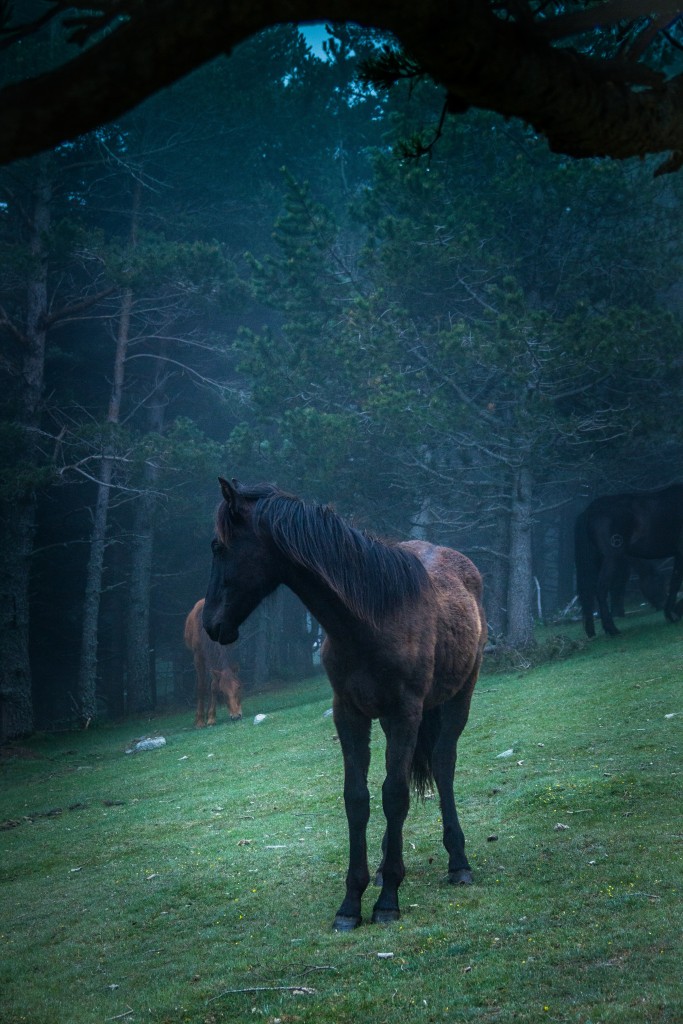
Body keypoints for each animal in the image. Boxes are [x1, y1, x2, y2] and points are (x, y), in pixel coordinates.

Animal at [184, 598, 243, 726]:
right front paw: (200, 720)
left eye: (239, 687)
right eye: (223, 692)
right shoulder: (198, 655)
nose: (236, 715)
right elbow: (201, 686)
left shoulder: (228, 647)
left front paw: (211, 717)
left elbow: (214, 684)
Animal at [203, 478, 487, 930]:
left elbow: (394, 795)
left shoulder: (405, 712)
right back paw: (389, 861)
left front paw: (387, 902)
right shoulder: (350, 714)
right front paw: (353, 901)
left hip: (459, 696)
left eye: (218, 546)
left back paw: (458, 863)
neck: (370, 619)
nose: (212, 624)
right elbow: (358, 799)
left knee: (443, 764)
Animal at [574, 484, 683, 637]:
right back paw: (611, 629)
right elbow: (676, 583)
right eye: (658, 580)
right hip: (611, 558)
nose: (661, 603)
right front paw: (672, 613)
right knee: (600, 588)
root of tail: (589, 511)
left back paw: (592, 632)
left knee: (588, 592)